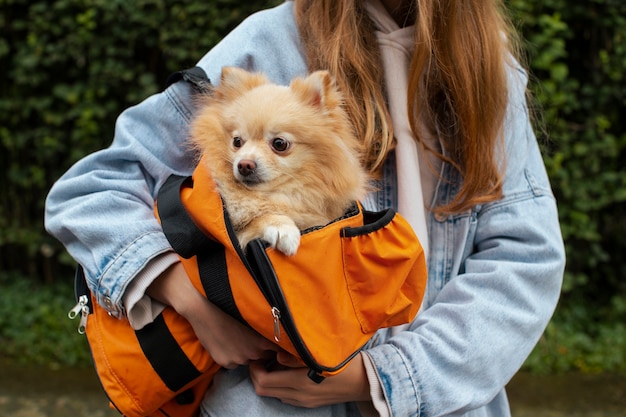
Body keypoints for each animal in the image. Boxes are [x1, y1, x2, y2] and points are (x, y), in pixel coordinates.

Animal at [188, 66, 368, 255]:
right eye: (237, 142)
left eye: (279, 144)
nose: (244, 164)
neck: (274, 196)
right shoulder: (236, 237)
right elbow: (259, 219)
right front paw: (283, 229)